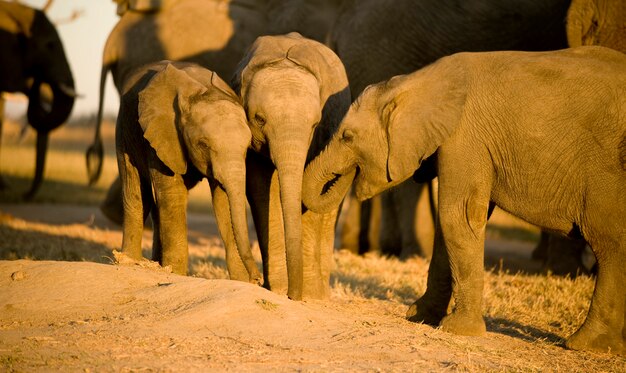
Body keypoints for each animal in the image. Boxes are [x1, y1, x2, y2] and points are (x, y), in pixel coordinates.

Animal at [116, 61, 260, 284]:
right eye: (203, 144)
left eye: (247, 147)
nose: (258, 278)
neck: (201, 91)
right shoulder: (162, 134)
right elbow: (173, 195)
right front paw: (174, 273)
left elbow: (223, 200)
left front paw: (241, 282)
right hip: (125, 130)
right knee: (137, 193)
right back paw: (129, 262)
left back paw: (155, 263)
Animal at [229, 32, 348, 300]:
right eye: (260, 119)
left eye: (315, 124)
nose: (293, 295)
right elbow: (263, 191)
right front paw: (279, 288)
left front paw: (305, 294)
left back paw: (318, 293)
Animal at [302, 45, 624, 354]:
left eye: (347, 136)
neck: (415, 82)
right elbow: (449, 225)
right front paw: (418, 316)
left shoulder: (464, 136)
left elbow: (458, 215)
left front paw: (457, 329)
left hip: (606, 174)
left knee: (609, 243)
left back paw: (585, 345)